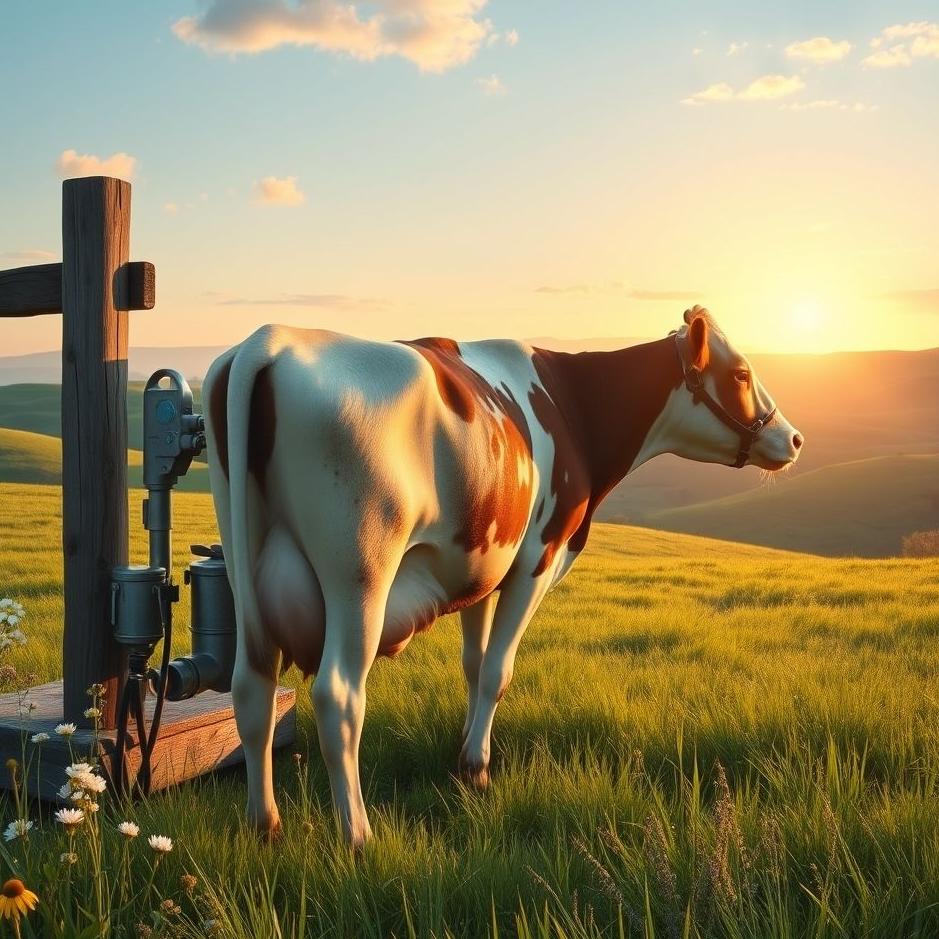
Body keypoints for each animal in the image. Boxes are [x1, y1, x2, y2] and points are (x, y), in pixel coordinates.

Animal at [203, 305, 802, 846]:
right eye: (741, 372)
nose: (794, 439)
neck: (573, 406)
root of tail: (273, 339)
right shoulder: (537, 558)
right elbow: (498, 670)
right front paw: (477, 767)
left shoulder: (483, 568)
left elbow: (473, 664)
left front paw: (462, 752)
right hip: (361, 575)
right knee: (339, 695)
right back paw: (358, 835)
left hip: (244, 571)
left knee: (252, 689)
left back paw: (265, 825)